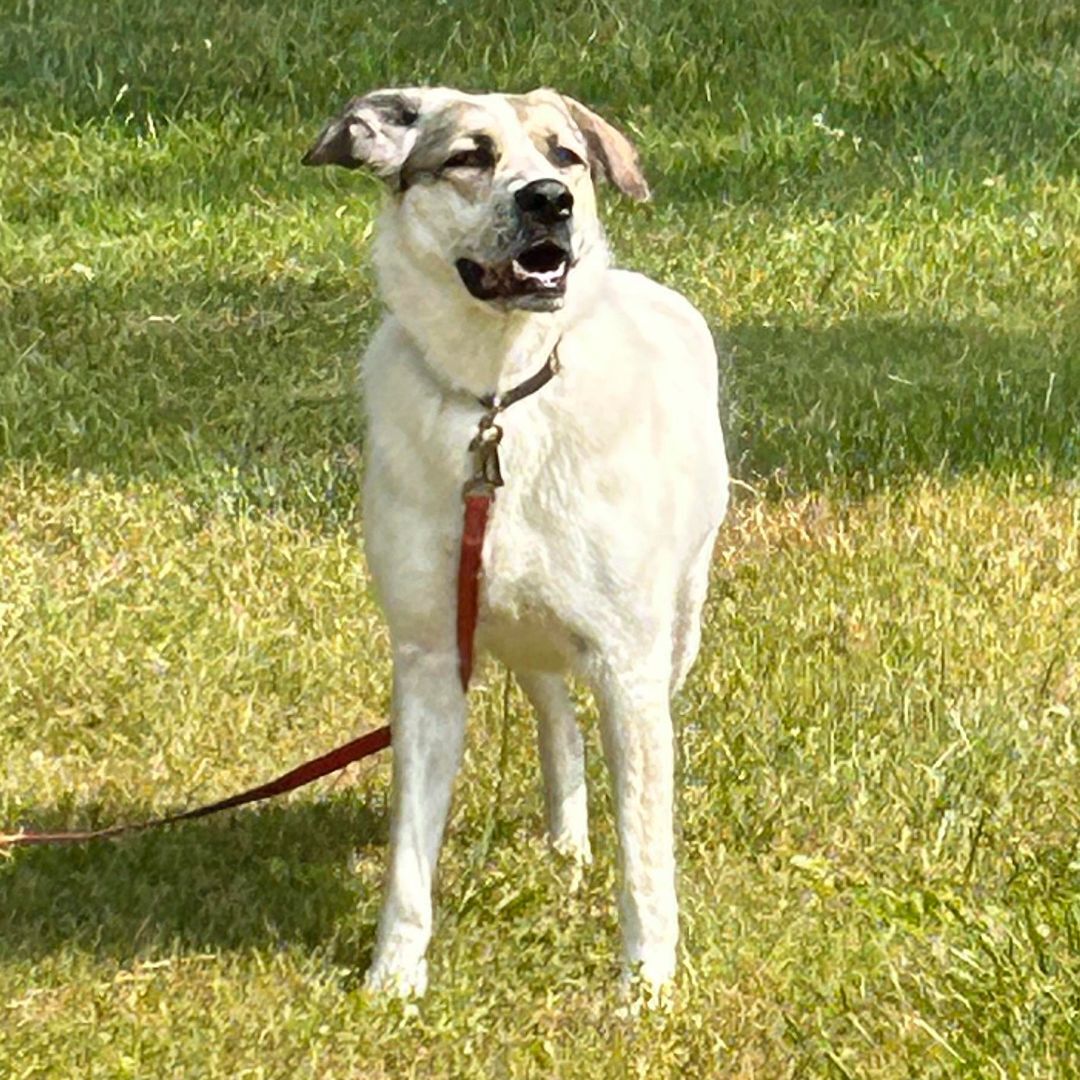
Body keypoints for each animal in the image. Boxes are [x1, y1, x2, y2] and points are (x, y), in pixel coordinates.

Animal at [300, 84, 730, 993]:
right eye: (470, 157)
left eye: (565, 154)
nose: (550, 202)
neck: (497, 402)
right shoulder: (431, 657)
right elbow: (409, 856)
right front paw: (393, 981)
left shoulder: (630, 664)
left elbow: (645, 852)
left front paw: (646, 986)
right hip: (518, 632)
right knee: (554, 716)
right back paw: (565, 842)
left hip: (675, 625)